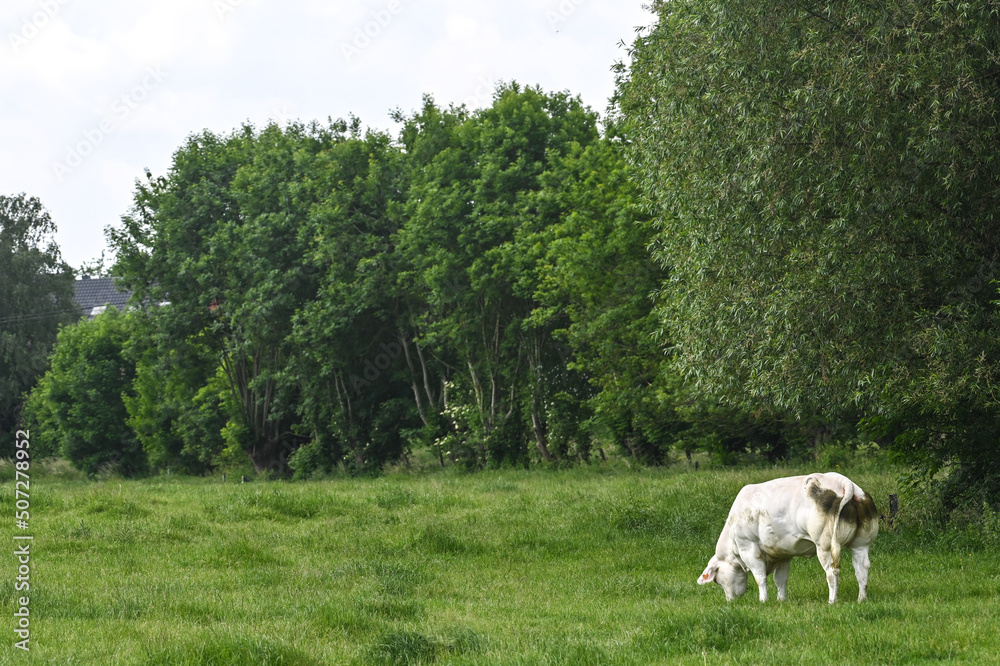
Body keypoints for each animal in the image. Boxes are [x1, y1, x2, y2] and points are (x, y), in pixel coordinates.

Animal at [697, 472, 878, 603]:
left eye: (717, 580)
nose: (730, 601)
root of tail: (843, 481)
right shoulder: (783, 553)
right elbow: (781, 579)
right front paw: (781, 600)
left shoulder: (748, 547)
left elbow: (760, 577)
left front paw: (763, 601)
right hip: (861, 544)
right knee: (862, 569)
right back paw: (862, 599)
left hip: (825, 546)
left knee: (832, 572)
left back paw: (832, 601)